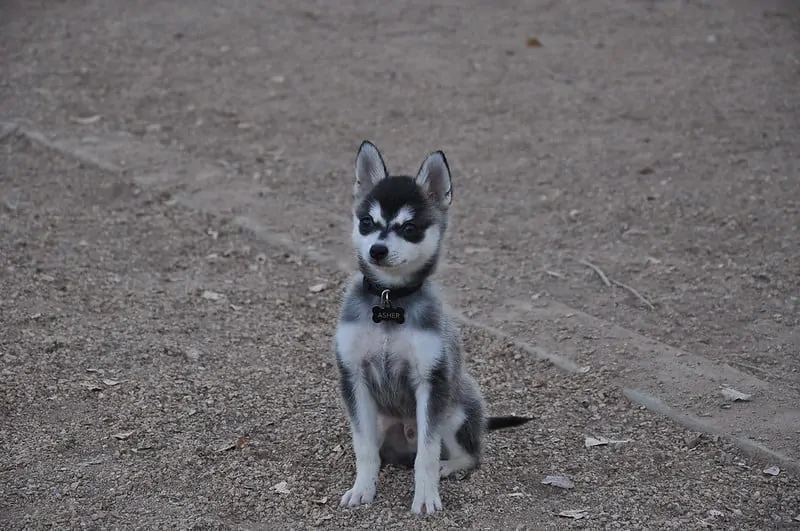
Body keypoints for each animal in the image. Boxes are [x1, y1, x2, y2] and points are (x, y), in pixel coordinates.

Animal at [332, 140, 532, 516]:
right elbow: (364, 448)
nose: (376, 250)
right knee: (381, 452)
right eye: (366, 222)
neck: (390, 301)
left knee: (467, 455)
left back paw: (447, 466)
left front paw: (426, 495)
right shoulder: (354, 378)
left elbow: (426, 454)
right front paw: (363, 489)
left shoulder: (431, 381)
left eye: (409, 228)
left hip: (455, 409)